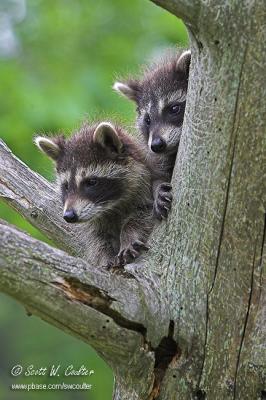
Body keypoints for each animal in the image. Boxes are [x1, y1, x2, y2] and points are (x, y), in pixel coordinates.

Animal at [34, 120, 154, 268]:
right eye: (66, 186)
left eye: (91, 182)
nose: (69, 216)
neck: (111, 206)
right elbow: (96, 238)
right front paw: (104, 256)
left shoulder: (146, 190)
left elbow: (142, 215)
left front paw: (129, 235)